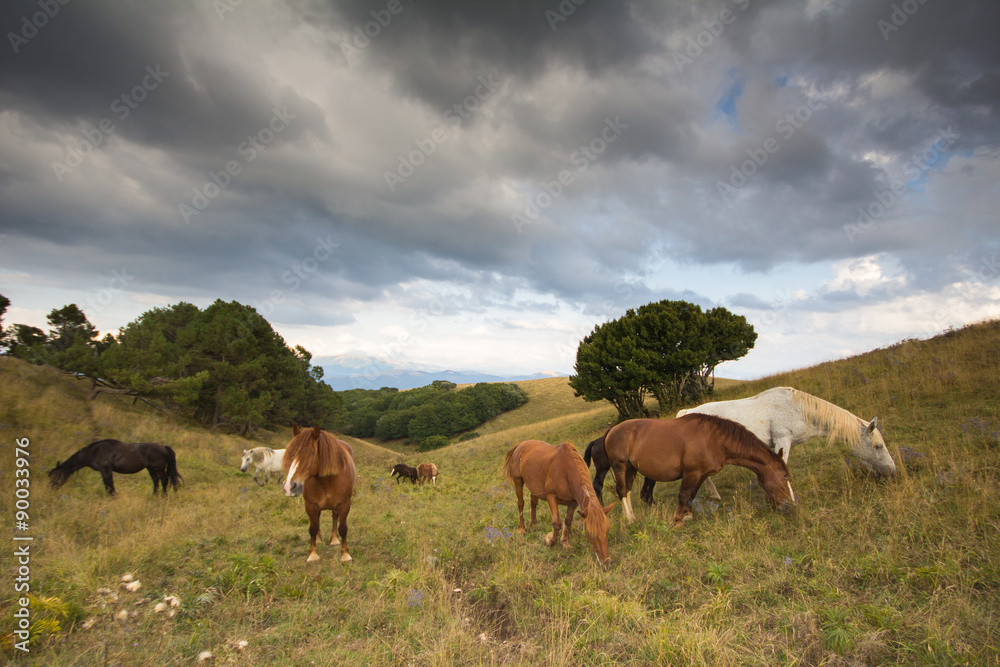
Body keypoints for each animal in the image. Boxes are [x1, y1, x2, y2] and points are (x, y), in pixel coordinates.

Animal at [48, 438, 183, 496]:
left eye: (54, 477)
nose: (51, 488)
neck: (94, 452)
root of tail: (164, 447)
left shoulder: (106, 470)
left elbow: (108, 484)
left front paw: (112, 496)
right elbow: (108, 484)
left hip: (158, 468)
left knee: (164, 480)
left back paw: (164, 496)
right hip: (151, 469)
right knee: (156, 481)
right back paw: (154, 495)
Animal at [282, 428, 356, 564]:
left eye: (311, 454)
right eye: (291, 455)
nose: (289, 487)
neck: (326, 480)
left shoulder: (344, 504)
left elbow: (343, 528)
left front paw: (345, 554)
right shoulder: (310, 505)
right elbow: (313, 527)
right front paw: (313, 554)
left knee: (334, 517)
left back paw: (334, 539)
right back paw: (318, 539)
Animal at [500, 440, 616, 568]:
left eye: (607, 530)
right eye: (590, 534)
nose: (606, 564)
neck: (565, 471)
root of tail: (521, 444)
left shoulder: (573, 502)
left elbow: (568, 521)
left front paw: (565, 542)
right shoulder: (551, 497)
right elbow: (557, 523)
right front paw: (549, 540)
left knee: (533, 500)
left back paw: (534, 523)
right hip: (518, 481)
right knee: (521, 503)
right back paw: (521, 529)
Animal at [596, 412, 792, 528]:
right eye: (784, 476)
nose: (790, 505)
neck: (714, 440)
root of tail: (612, 430)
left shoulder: (701, 475)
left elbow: (691, 496)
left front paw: (687, 515)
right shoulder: (691, 473)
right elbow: (683, 495)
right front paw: (677, 520)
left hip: (631, 468)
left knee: (626, 490)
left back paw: (628, 515)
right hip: (620, 465)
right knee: (622, 490)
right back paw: (630, 519)